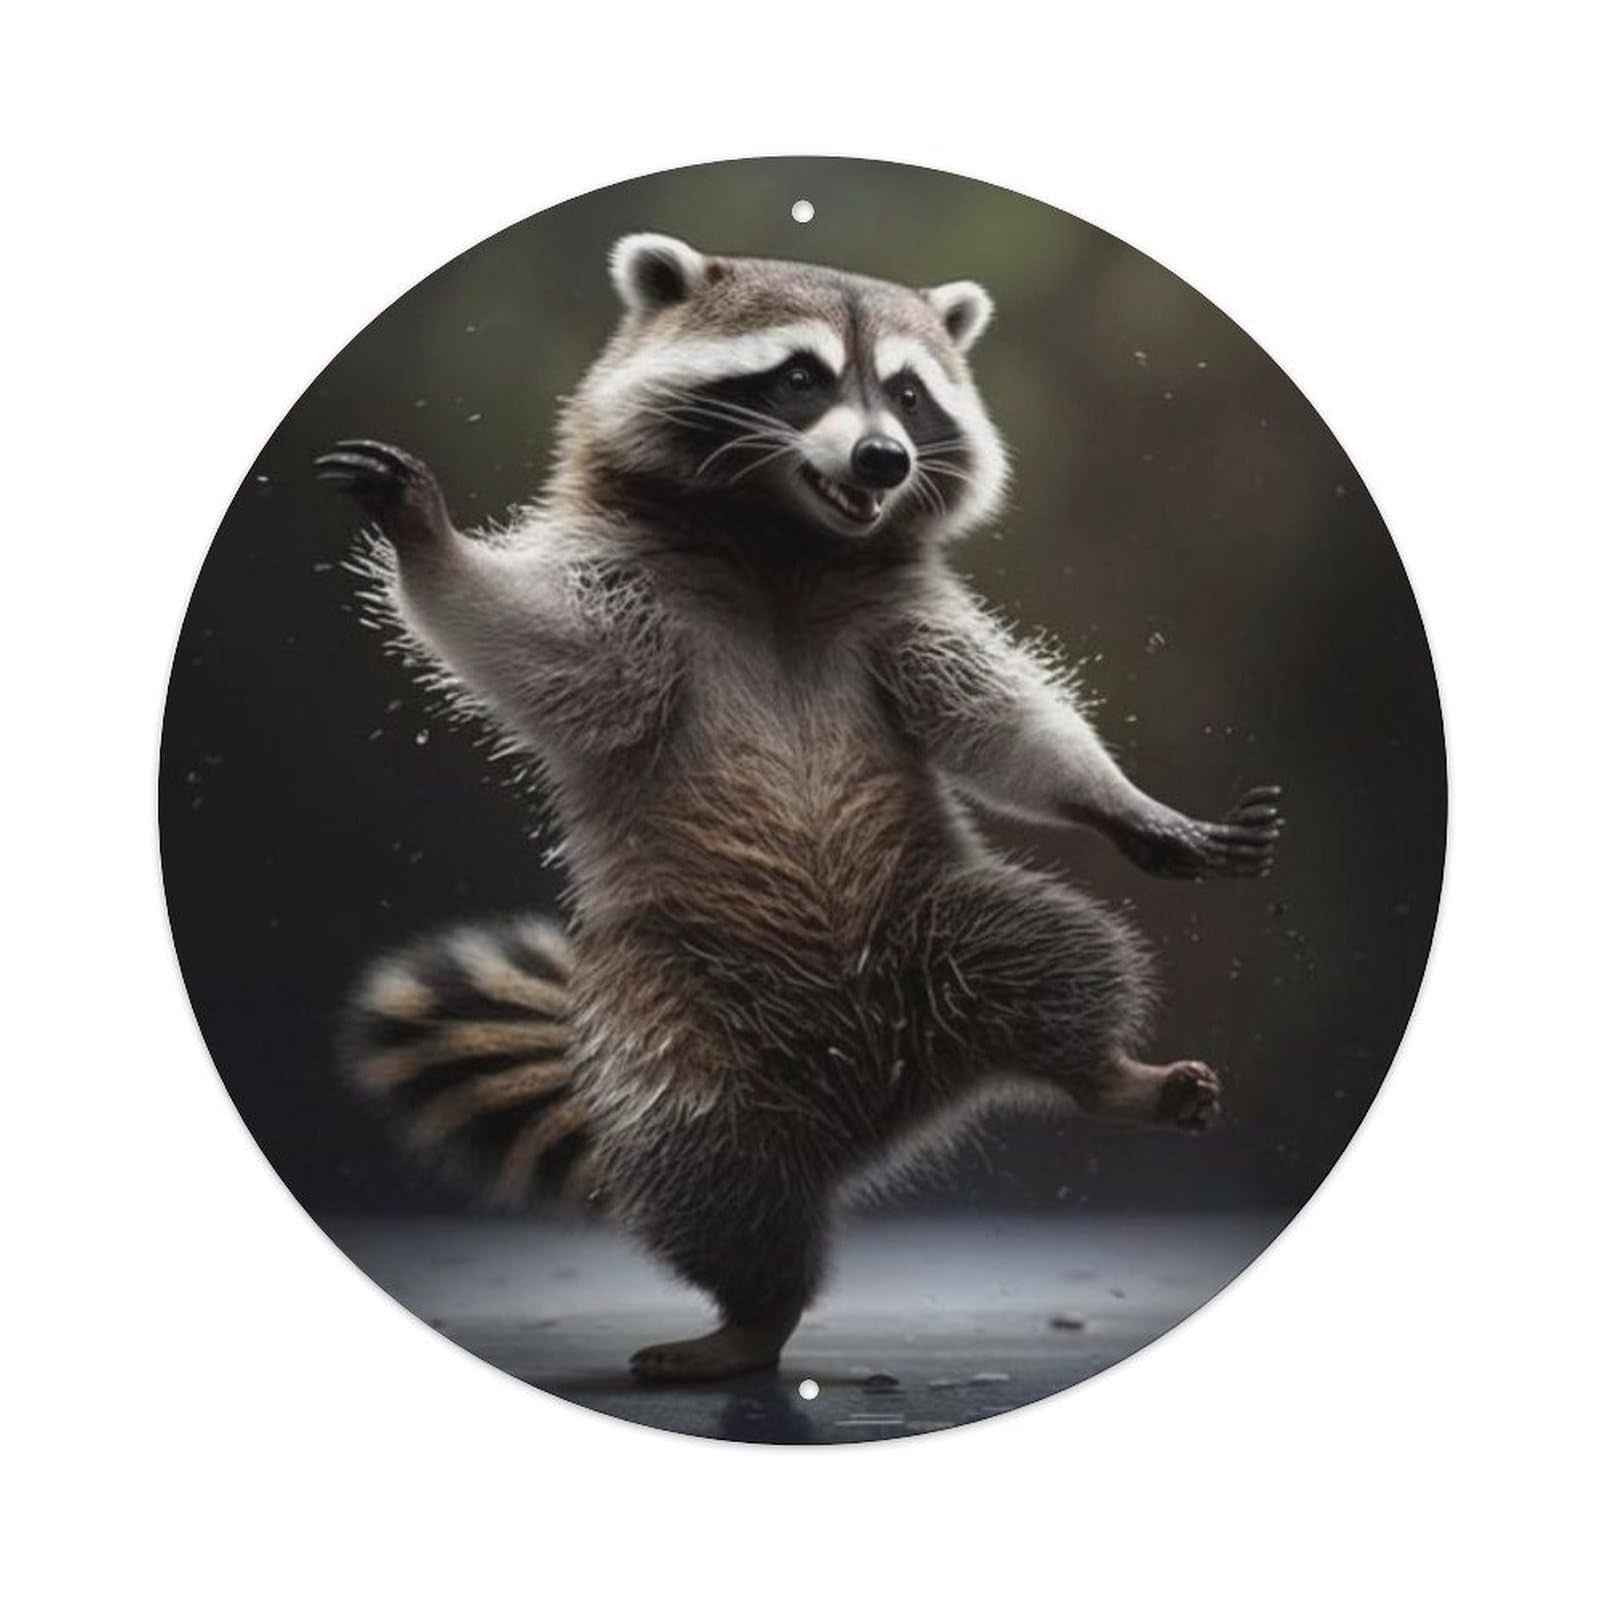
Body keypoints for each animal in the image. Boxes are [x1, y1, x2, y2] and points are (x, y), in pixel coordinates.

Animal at [320, 233, 1282, 1382]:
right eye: (799, 378)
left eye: (908, 395)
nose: (883, 462)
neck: (785, 547)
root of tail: (871, 1105)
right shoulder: (632, 602)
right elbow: (536, 636)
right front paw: (432, 546)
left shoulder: (901, 624)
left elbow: (999, 717)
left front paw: (1121, 801)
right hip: (673, 1005)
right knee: (706, 1158)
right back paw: (756, 1311)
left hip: (937, 913)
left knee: (1055, 952)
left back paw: (1105, 1073)